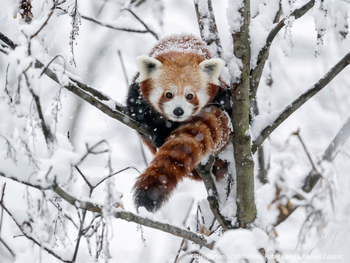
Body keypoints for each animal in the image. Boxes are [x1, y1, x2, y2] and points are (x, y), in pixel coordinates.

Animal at [126, 34, 232, 213]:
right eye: (168, 94)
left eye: (190, 96)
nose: (178, 111)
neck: (180, 47)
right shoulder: (135, 94)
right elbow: (138, 116)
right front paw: (157, 133)